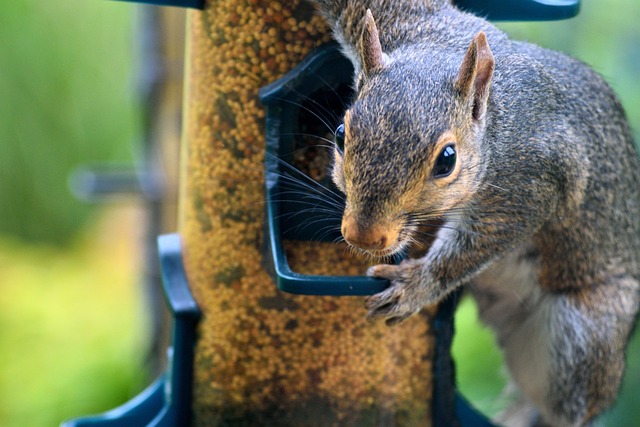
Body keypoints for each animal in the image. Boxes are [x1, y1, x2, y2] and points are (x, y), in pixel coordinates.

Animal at [308, 0, 640, 427]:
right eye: (340, 135)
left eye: (447, 159)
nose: (363, 236)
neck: (495, 127)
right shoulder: (403, 20)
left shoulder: (531, 184)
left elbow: (476, 246)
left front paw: (417, 286)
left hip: (584, 335)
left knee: (564, 407)